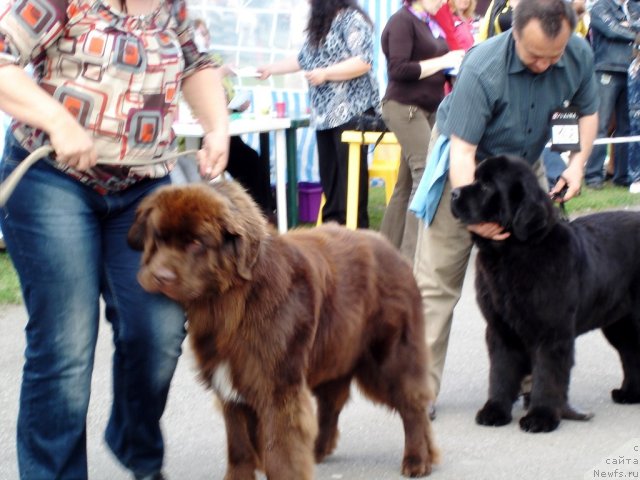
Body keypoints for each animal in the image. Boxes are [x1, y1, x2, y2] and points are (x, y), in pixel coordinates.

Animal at [127, 181, 438, 480]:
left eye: (195, 243)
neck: (235, 301)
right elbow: (238, 444)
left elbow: (280, 449)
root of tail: (393, 250)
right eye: (158, 238)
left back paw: (418, 459)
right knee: (331, 404)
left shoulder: (276, 385)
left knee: (413, 405)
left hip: (388, 357)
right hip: (334, 355)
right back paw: (318, 450)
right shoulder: (231, 387)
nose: (160, 277)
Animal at [450, 156, 640, 434]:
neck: (512, 253)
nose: (453, 193)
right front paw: (495, 410)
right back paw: (630, 394)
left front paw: (540, 417)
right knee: (630, 353)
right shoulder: (500, 328)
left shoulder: (551, 331)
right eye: (474, 178)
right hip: (620, 324)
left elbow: (547, 375)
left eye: (486, 185)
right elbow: (500, 372)